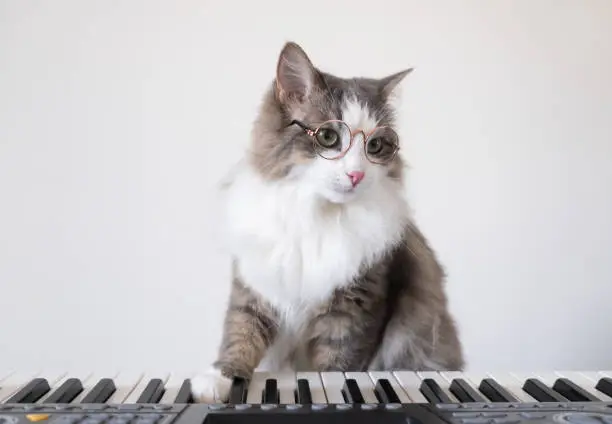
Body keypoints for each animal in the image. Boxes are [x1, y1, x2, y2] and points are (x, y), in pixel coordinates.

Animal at [191, 41, 464, 402]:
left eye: (376, 146)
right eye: (329, 138)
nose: (356, 174)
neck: (316, 216)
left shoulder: (354, 309)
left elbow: (337, 367)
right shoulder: (254, 288)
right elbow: (239, 336)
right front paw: (216, 380)